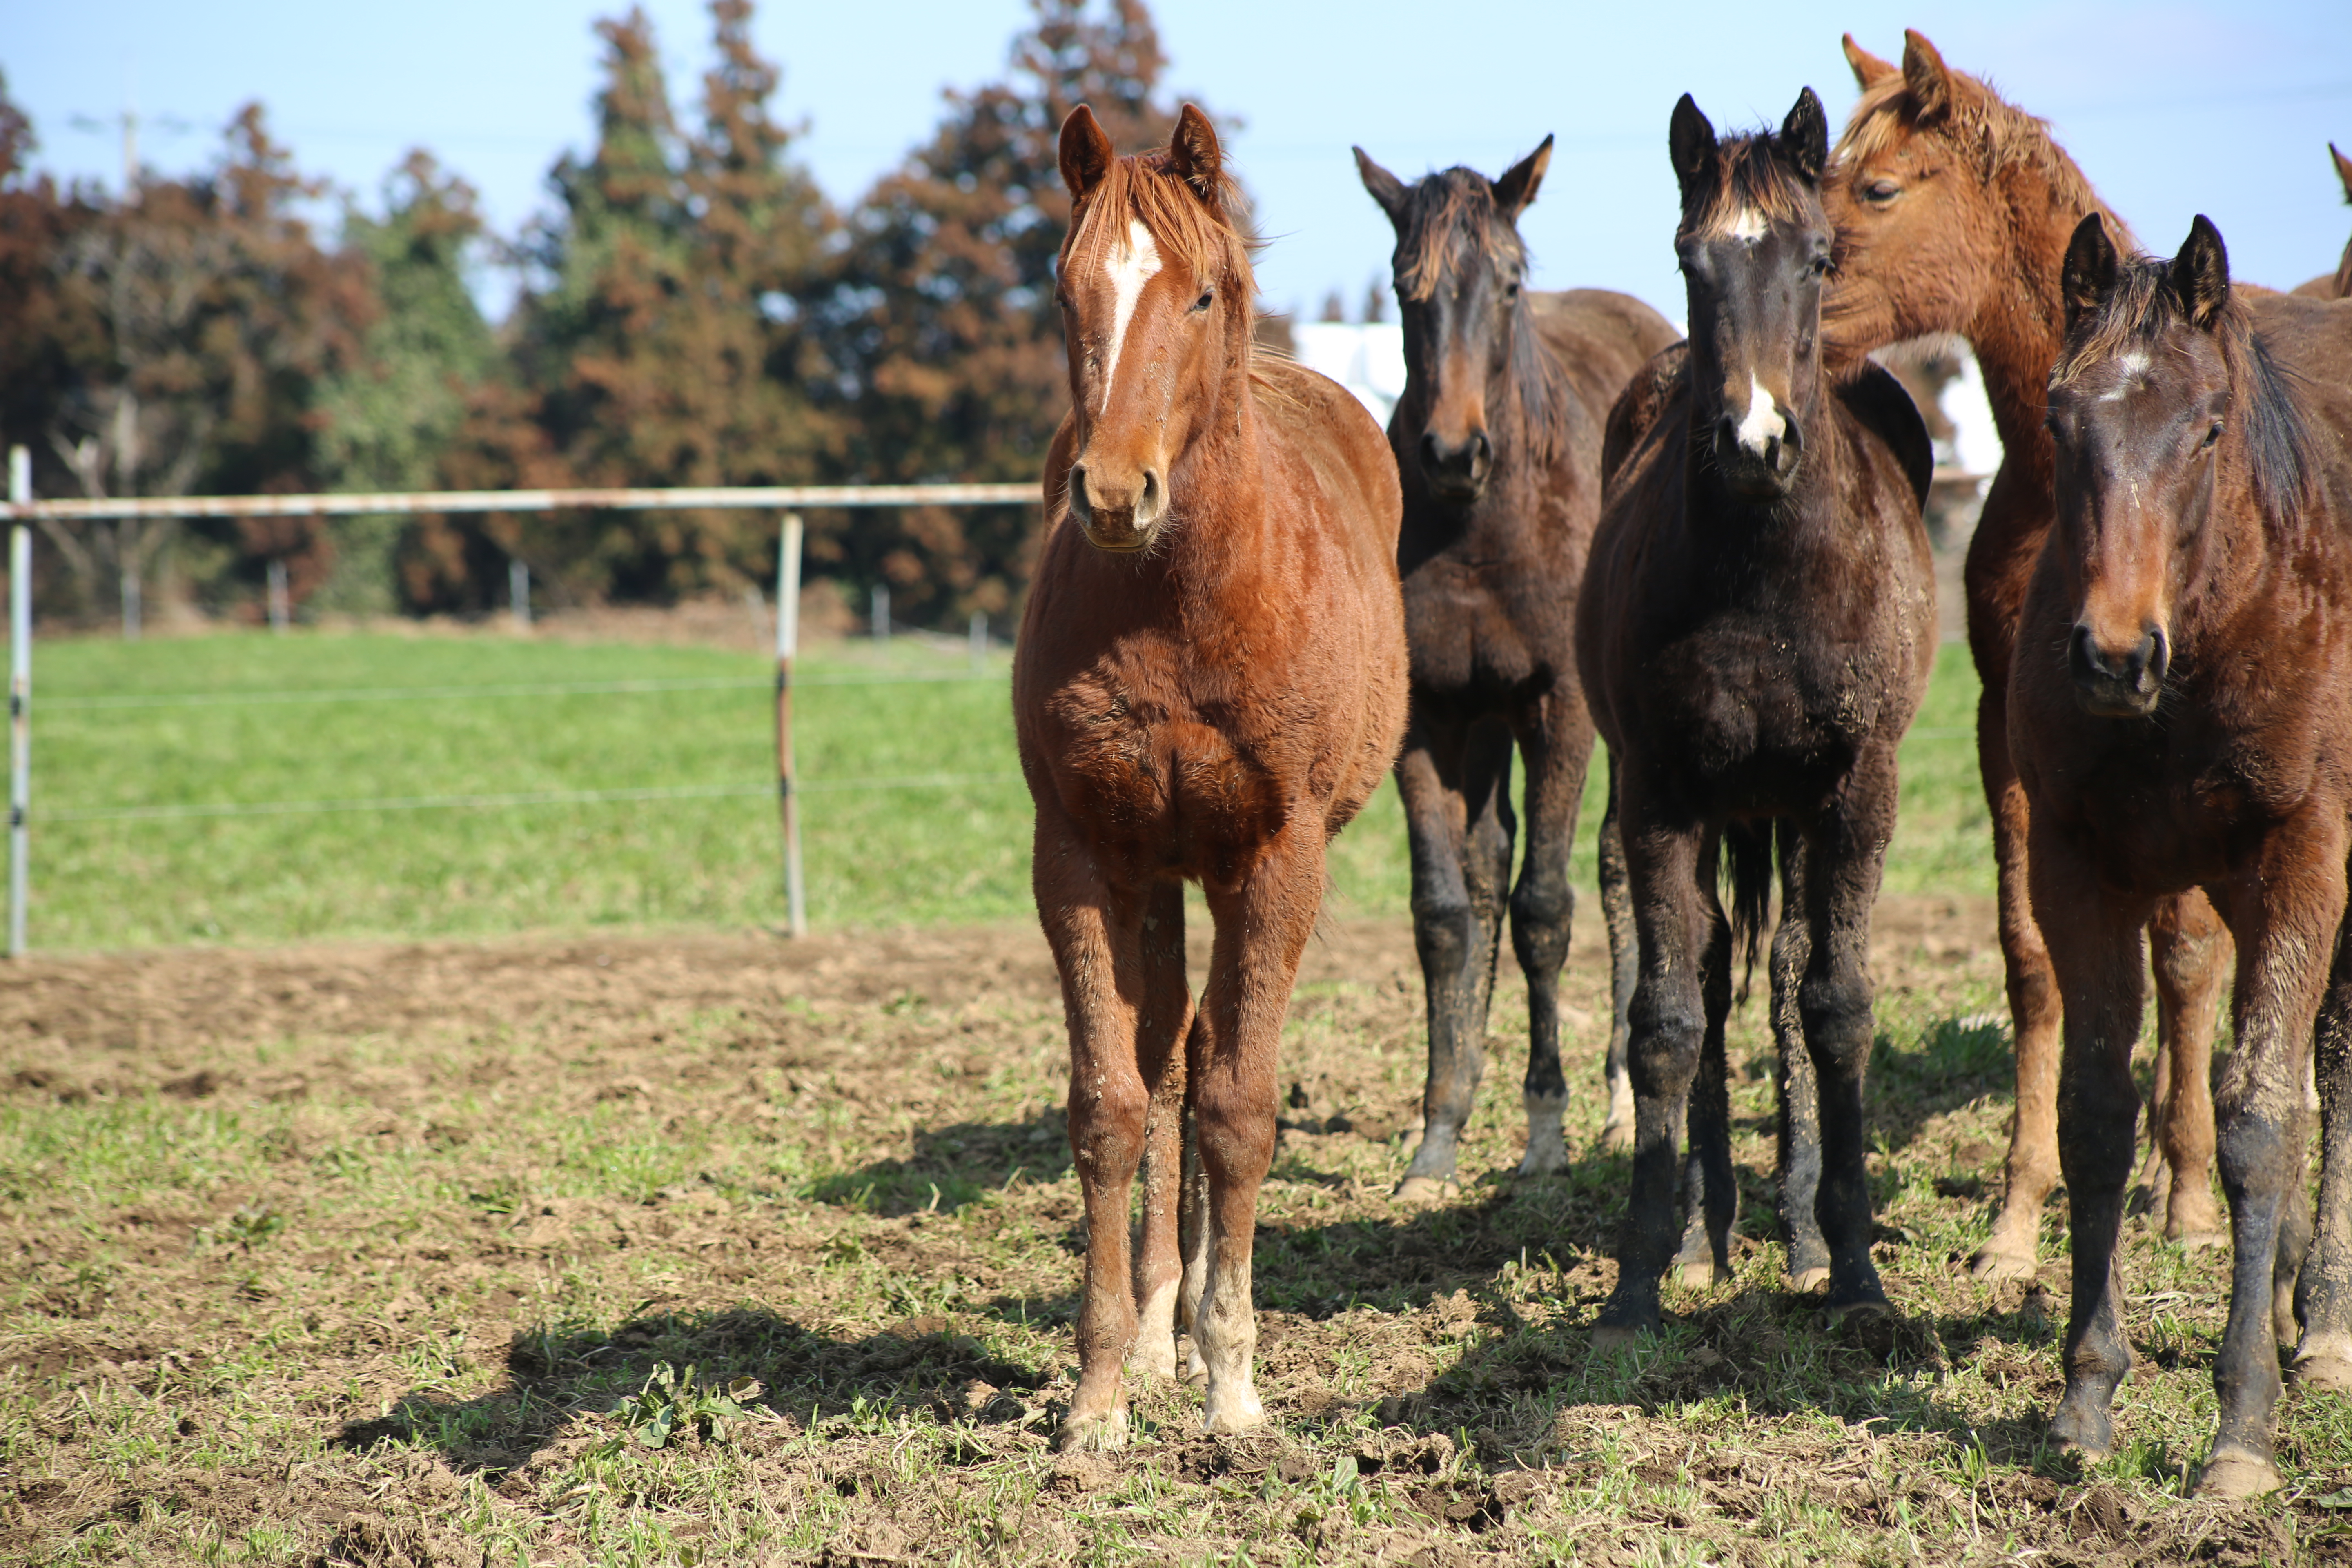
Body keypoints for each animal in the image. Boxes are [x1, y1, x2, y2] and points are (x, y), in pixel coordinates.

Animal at [1016, 104, 1411, 1457]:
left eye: (1197, 296)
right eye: (1068, 288)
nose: (1114, 491)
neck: (1182, 605)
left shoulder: (1278, 858)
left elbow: (1241, 1106)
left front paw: (1235, 1385)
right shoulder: (1084, 855)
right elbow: (1112, 1102)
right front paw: (1100, 1395)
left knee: (1203, 1063)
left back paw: (1192, 1336)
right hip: (1159, 871)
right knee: (1167, 1057)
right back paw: (1155, 1328)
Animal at [1354, 141, 1684, 1194]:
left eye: (1507, 284)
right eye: (1403, 286)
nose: (1453, 451)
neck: (1479, 526)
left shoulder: (1560, 706)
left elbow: (1544, 905)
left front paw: (1546, 1134)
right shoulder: (1426, 718)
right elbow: (1446, 914)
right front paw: (1436, 1136)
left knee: (1614, 863)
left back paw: (1621, 1098)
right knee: (1486, 865)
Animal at [1580, 86, 1929, 1345]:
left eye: (1817, 257)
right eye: (1692, 261)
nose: (1752, 443)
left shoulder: (1856, 787)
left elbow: (1832, 1007)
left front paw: (1853, 1262)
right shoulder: (1659, 791)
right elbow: (1668, 1017)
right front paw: (1645, 1269)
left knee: (1779, 972)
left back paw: (1792, 1230)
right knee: (1721, 967)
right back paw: (1709, 1232)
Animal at [2004, 208, 2352, 1495]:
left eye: (2204, 428)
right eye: (2060, 419)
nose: (2111, 655)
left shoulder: (2305, 859)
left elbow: (2256, 1116)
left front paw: (2240, 1426)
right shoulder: (2076, 865)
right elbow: (2096, 1106)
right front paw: (2084, 1394)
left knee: (2329, 1075)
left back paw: (2326, 1323)